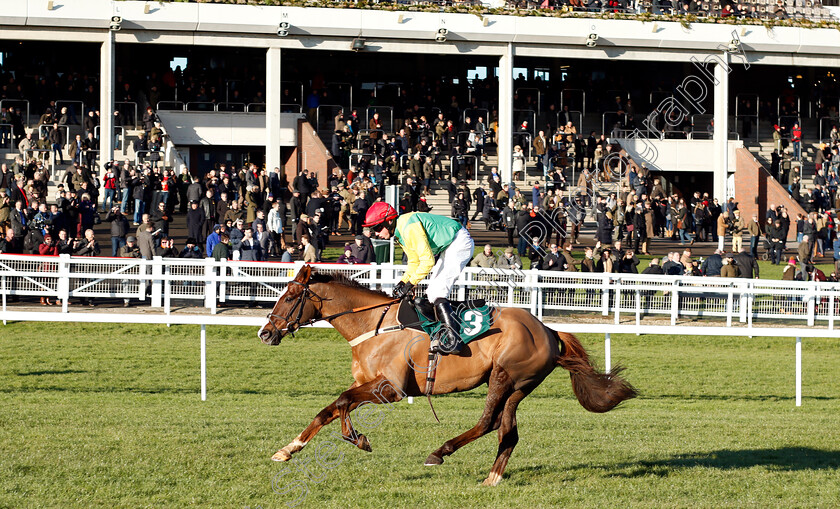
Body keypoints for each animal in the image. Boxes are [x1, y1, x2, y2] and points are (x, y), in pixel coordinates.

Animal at [260, 266, 632, 484]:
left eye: (290, 296)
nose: (266, 333)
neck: (373, 325)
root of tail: (548, 330)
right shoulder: (366, 382)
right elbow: (329, 409)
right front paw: (287, 449)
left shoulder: (390, 389)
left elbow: (341, 402)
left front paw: (358, 438)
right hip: (517, 386)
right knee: (507, 431)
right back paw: (492, 478)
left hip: (504, 375)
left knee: (488, 422)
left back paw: (440, 452)